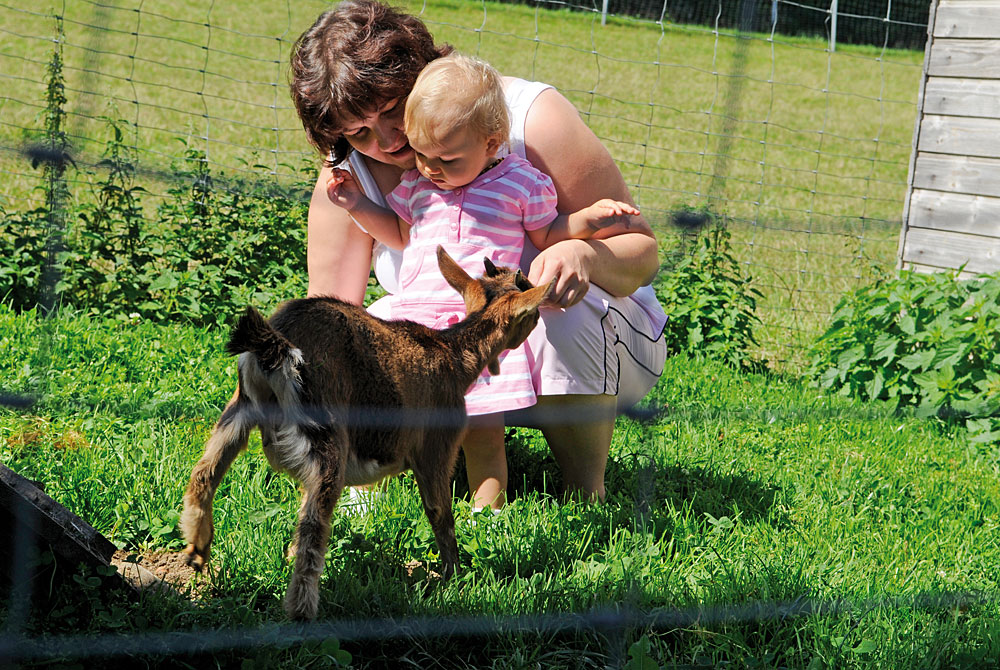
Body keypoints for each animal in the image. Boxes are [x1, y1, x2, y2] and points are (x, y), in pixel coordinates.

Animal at [181, 245, 556, 620]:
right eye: (531, 301)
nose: (542, 318)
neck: (452, 355)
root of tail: (278, 346)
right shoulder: (437, 445)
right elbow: (440, 514)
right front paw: (455, 581)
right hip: (326, 433)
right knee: (313, 525)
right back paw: (302, 612)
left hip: (239, 411)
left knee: (204, 472)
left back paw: (197, 551)